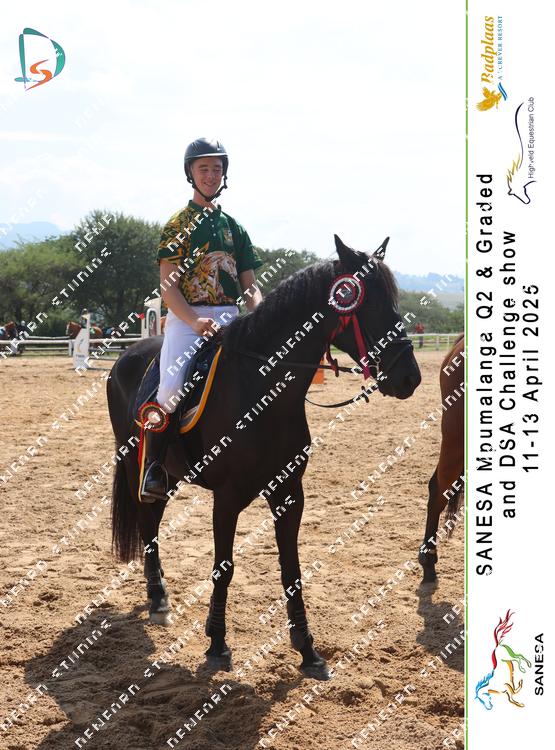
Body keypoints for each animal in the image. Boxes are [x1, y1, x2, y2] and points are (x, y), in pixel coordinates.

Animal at [107, 235, 422, 679]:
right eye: (371, 303)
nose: (410, 377)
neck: (263, 389)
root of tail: (125, 357)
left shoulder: (289, 494)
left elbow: (292, 570)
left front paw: (308, 650)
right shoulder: (226, 499)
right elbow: (224, 568)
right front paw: (217, 645)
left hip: (168, 476)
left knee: (150, 522)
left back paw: (159, 597)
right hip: (140, 465)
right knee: (147, 521)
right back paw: (158, 599)